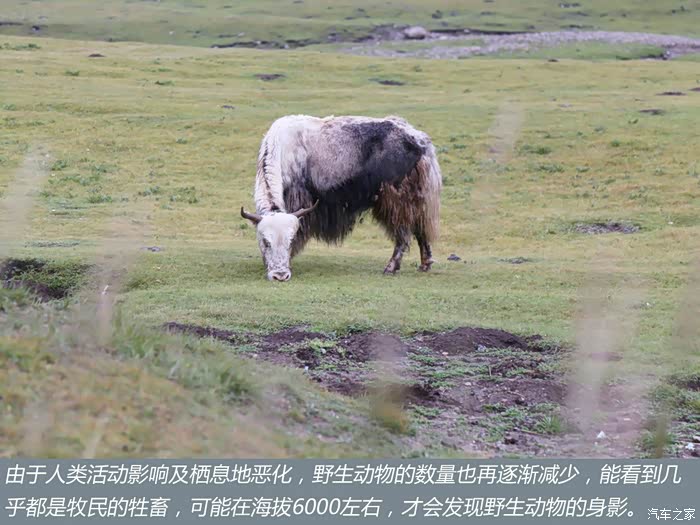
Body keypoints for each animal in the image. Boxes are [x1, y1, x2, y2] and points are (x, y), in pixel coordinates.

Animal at [240, 115, 442, 281]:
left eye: (290, 240)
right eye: (265, 242)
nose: (280, 276)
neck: (282, 149)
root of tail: (420, 140)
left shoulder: (297, 200)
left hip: (396, 200)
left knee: (403, 234)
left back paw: (390, 268)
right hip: (417, 200)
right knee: (420, 228)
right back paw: (425, 264)